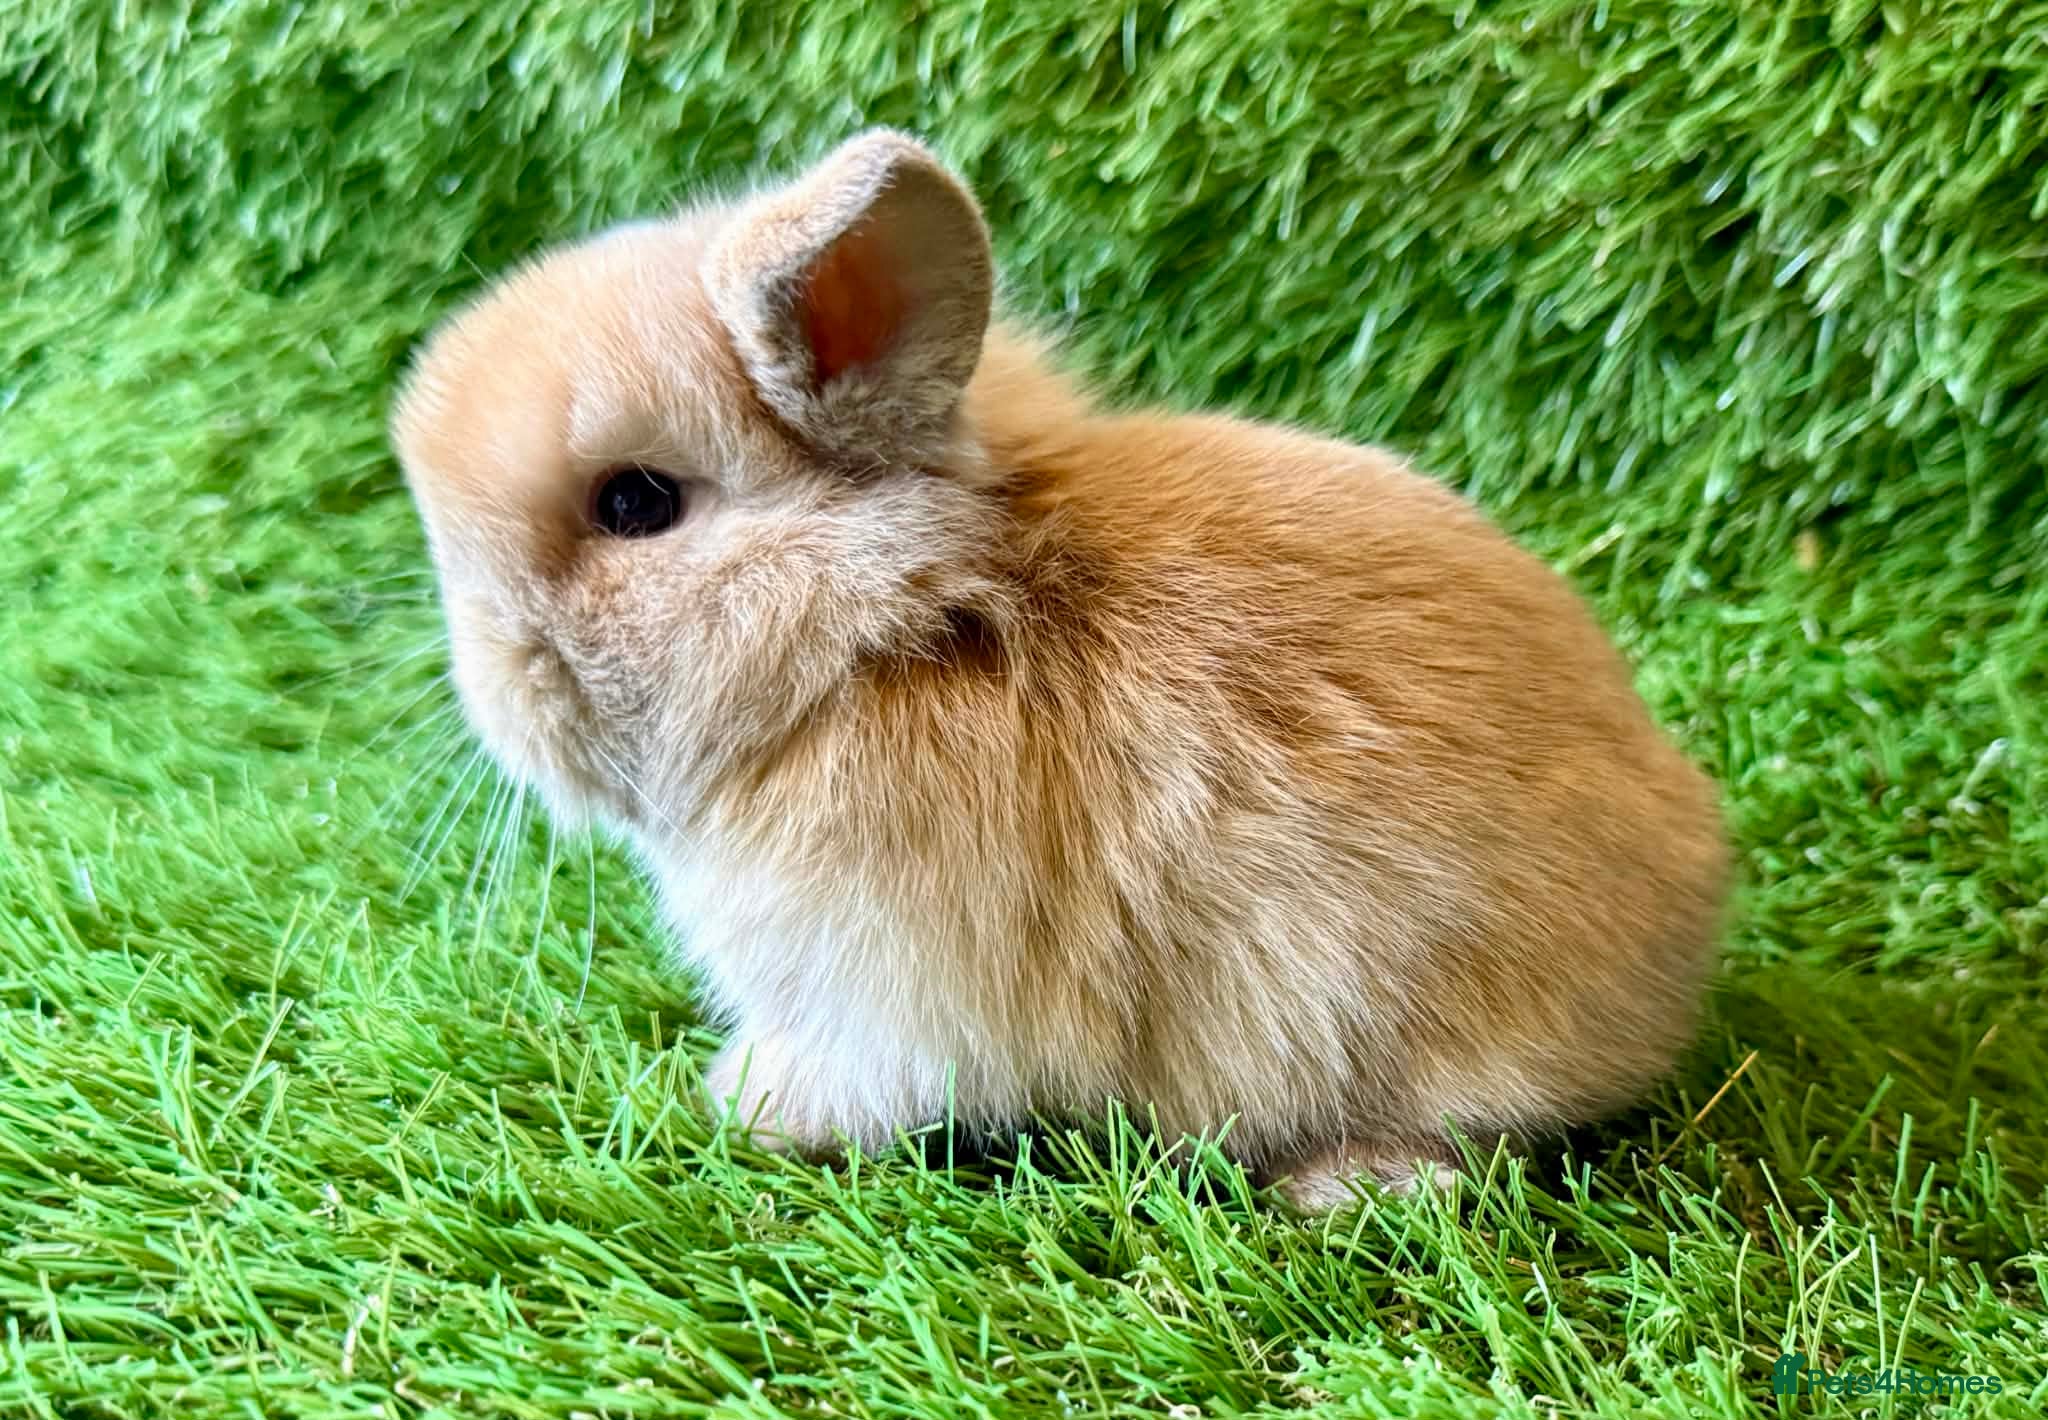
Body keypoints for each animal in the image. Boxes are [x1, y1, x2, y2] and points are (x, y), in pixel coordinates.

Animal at [390, 129, 1730, 1209]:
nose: (491, 684)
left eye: (635, 503)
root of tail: (1691, 909)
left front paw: (740, 1104)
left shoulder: (882, 992)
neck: (886, 630)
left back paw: (1347, 1187)